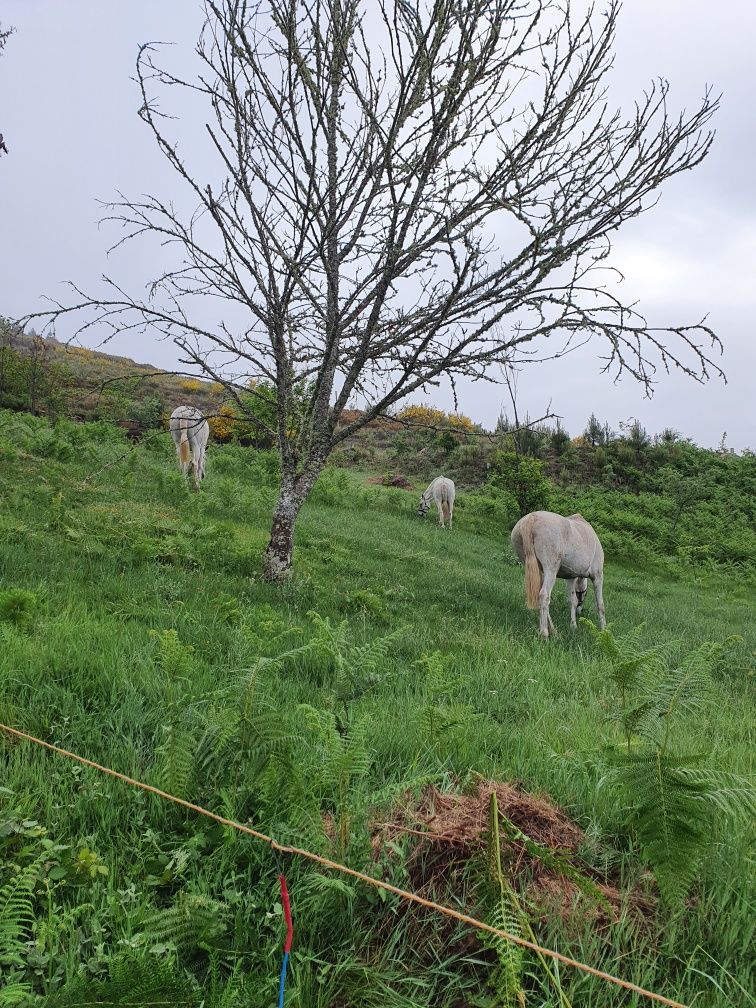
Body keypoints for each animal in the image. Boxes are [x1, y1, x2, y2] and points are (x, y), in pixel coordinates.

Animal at [512, 508, 608, 641]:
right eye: (585, 594)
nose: (580, 611)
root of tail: (531, 519)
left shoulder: (571, 577)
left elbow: (572, 600)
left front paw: (573, 626)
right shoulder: (598, 575)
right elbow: (600, 605)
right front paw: (604, 631)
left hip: (535, 568)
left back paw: (553, 631)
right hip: (551, 569)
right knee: (544, 595)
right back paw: (544, 633)